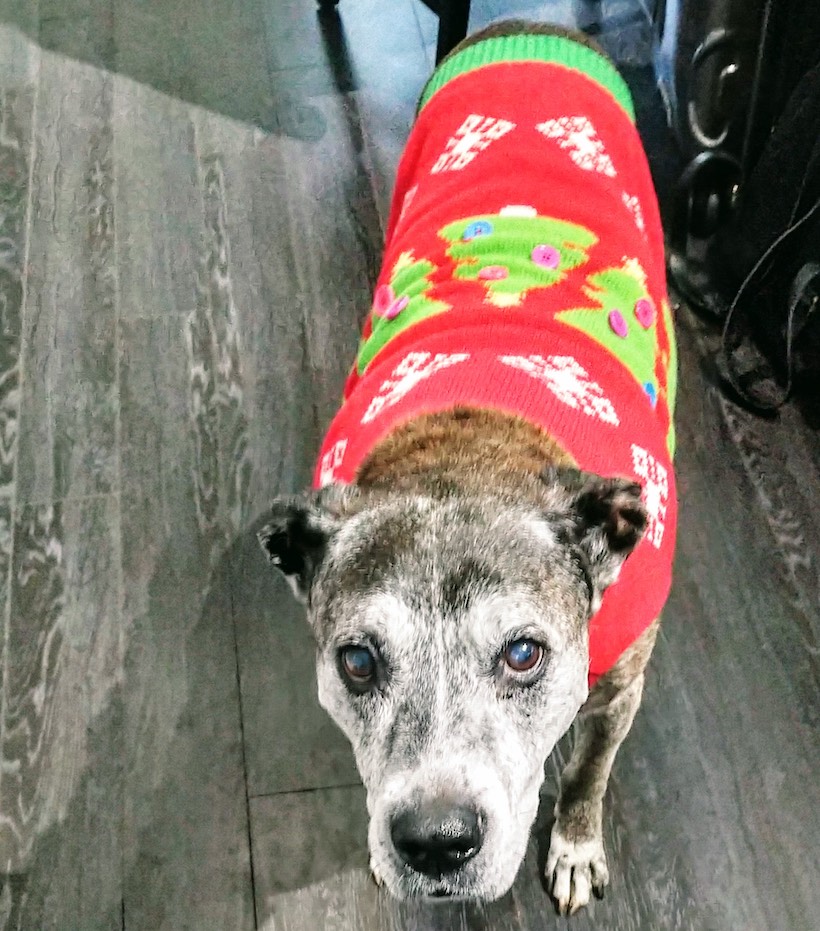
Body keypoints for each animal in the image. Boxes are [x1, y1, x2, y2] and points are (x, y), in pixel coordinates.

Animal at [260, 21, 676, 916]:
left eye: (524, 654)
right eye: (356, 661)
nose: (435, 842)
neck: (472, 449)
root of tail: (527, 26)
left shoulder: (621, 681)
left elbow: (588, 768)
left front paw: (576, 843)